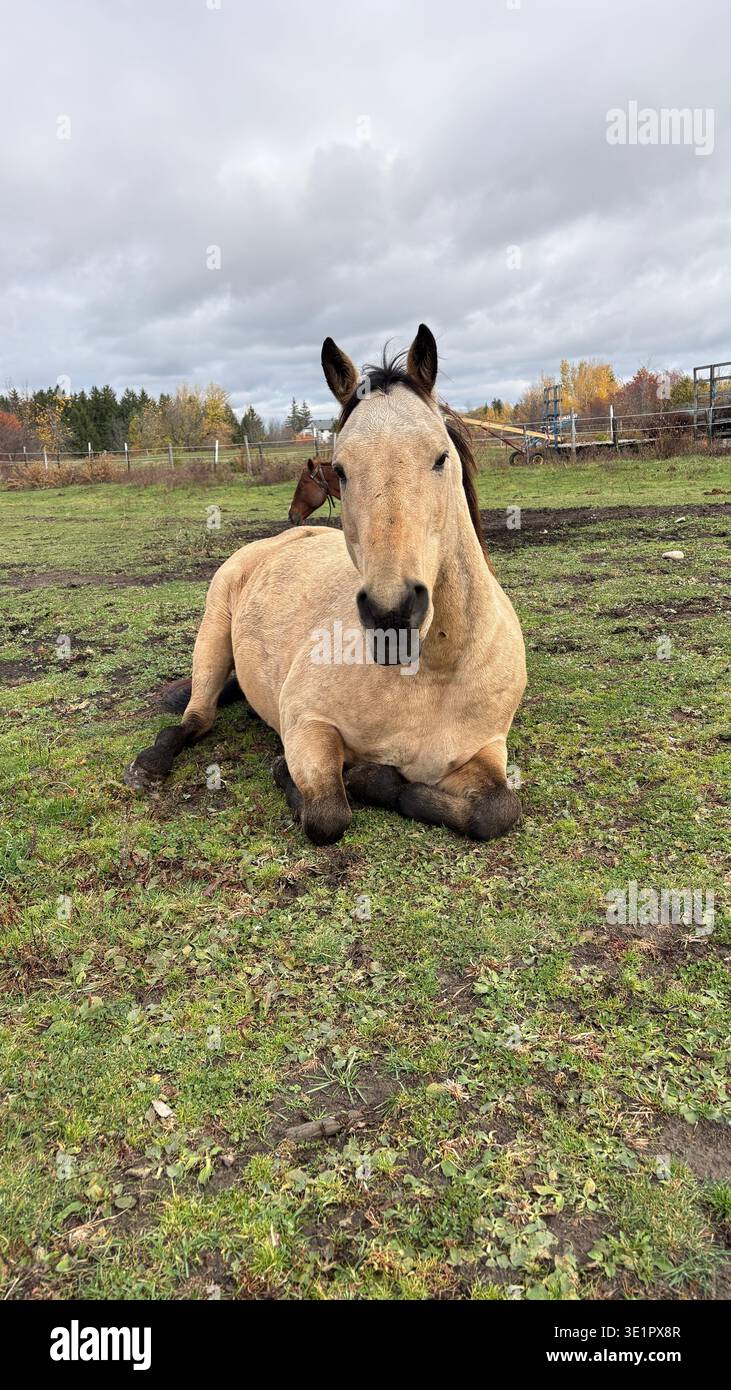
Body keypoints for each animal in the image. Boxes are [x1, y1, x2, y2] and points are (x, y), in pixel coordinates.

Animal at [125, 325, 527, 845]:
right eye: (340, 469)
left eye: (441, 458)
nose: (392, 613)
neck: (436, 673)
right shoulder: (308, 726)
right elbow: (327, 814)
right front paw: (326, 776)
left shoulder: (486, 751)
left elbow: (497, 810)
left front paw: (377, 780)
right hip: (212, 637)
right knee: (196, 719)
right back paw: (150, 763)